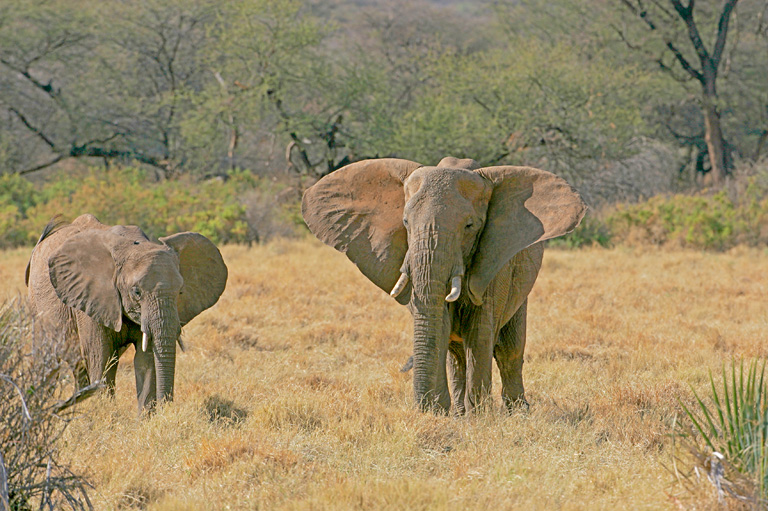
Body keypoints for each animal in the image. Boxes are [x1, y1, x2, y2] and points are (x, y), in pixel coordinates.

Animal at [24, 214, 228, 414]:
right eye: (136, 292)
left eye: (180, 292)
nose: (168, 408)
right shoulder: (89, 297)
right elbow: (99, 355)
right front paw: (104, 413)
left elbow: (146, 359)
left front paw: (146, 418)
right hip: (37, 304)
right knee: (51, 359)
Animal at [304, 157, 584, 416]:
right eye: (405, 223)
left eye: (470, 226)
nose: (425, 408)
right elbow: (439, 323)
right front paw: (440, 413)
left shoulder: (494, 261)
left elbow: (480, 331)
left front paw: (479, 417)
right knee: (457, 354)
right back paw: (461, 412)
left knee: (509, 349)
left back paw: (516, 412)